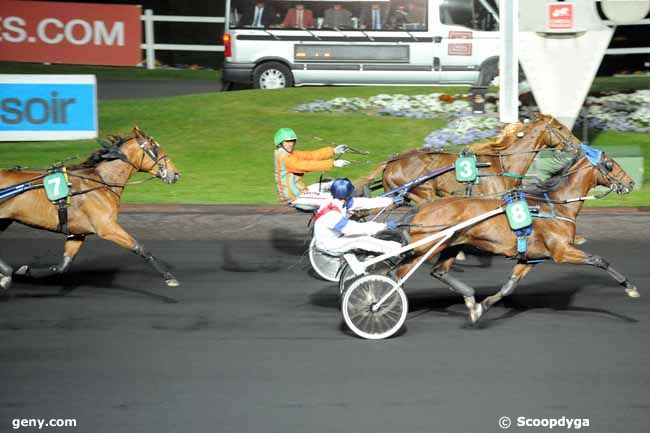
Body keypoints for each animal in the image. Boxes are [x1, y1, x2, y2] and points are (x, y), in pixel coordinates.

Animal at [0, 126, 180, 292]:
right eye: (155, 148)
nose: (176, 174)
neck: (101, 182)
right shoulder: (107, 228)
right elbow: (139, 247)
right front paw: (169, 277)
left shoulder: (77, 233)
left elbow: (63, 265)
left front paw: (26, 271)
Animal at [402, 147, 636, 322]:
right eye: (611, 164)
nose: (631, 183)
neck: (555, 205)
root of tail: (422, 208)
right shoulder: (561, 252)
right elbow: (599, 260)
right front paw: (630, 287)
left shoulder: (530, 258)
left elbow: (509, 286)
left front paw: (481, 307)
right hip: (424, 247)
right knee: (401, 273)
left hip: (452, 245)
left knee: (438, 272)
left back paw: (467, 295)